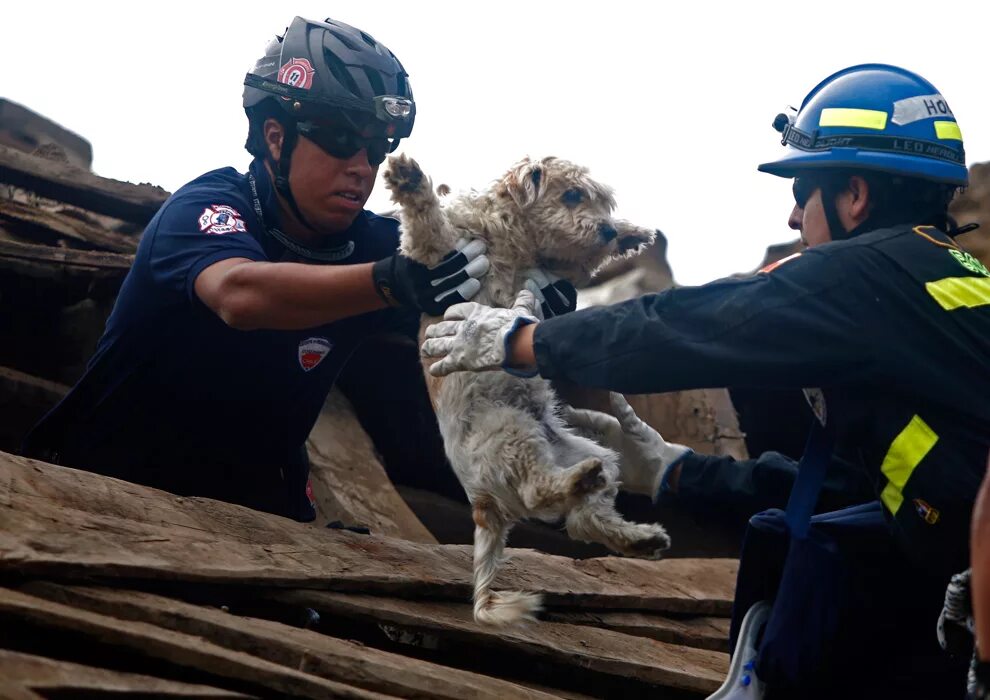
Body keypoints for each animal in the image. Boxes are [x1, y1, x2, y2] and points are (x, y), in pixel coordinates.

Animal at [384, 156, 672, 628]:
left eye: (601, 202)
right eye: (572, 195)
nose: (607, 230)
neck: (517, 245)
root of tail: (481, 503)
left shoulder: (562, 271)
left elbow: (579, 268)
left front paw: (630, 232)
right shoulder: (443, 251)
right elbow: (427, 222)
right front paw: (408, 179)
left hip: (590, 456)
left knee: (581, 517)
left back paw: (637, 534)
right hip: (512, 433)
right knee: (540, 492)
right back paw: (589, 490)